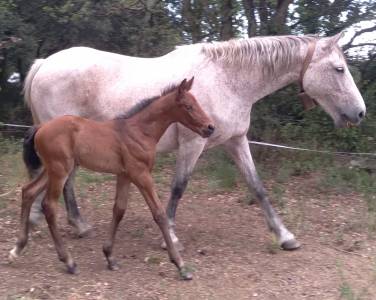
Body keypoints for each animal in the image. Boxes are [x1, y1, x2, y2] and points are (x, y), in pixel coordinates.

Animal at [9, 78, 214, 280]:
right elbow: (159, 213)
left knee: (28, 191)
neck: (139, 131)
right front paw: (181, 265)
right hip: (60, 170)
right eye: (188, 106)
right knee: (49, 205)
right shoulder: (141, 174)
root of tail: (41, 127)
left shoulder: (124, 175)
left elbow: (119, 210)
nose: (210, 127)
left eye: (197, 103)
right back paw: (69, 261)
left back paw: (17, 249)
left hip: (51, 170)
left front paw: (109, 256)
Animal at [22, 32, 364, 252]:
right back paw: (71, 223)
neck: (227, 79)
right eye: (339, 69)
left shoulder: (236, 141)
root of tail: (44, 63)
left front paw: (284, 235)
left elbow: (258, 187)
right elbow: (178, 188)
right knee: (62, 181)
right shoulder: (192, 145)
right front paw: (170, 238)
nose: (360, 112)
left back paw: (63, 221)